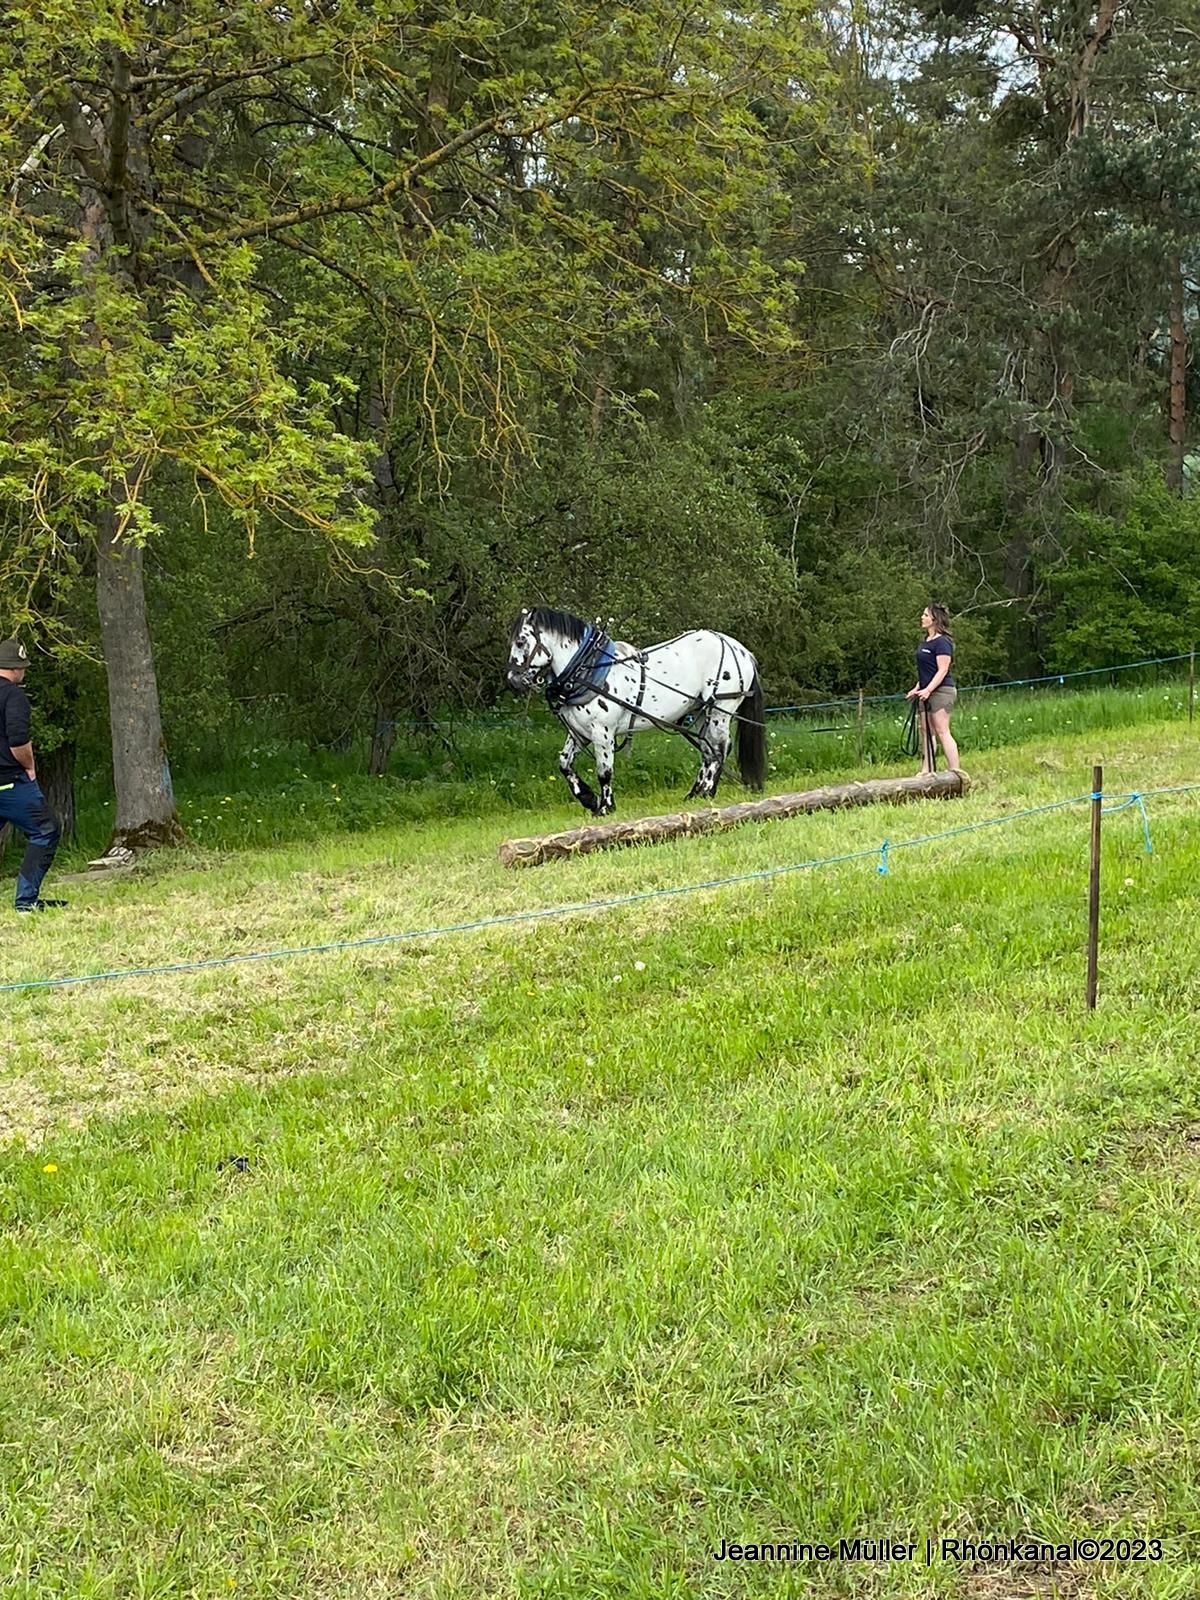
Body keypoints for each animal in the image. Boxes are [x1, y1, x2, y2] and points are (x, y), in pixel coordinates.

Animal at [502, 608, 764, 819]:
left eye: (521, 641)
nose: (513, 679)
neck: (590, 669)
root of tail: (741, 650)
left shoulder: (602, 732)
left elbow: (604, 771)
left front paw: (606, 807)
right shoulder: (580, 733)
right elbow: (565, 764)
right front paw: (589, 799)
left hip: (721, 709)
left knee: (719, 749)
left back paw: (707, 791)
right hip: (701, 712)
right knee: (708, 751)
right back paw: (695, 793)